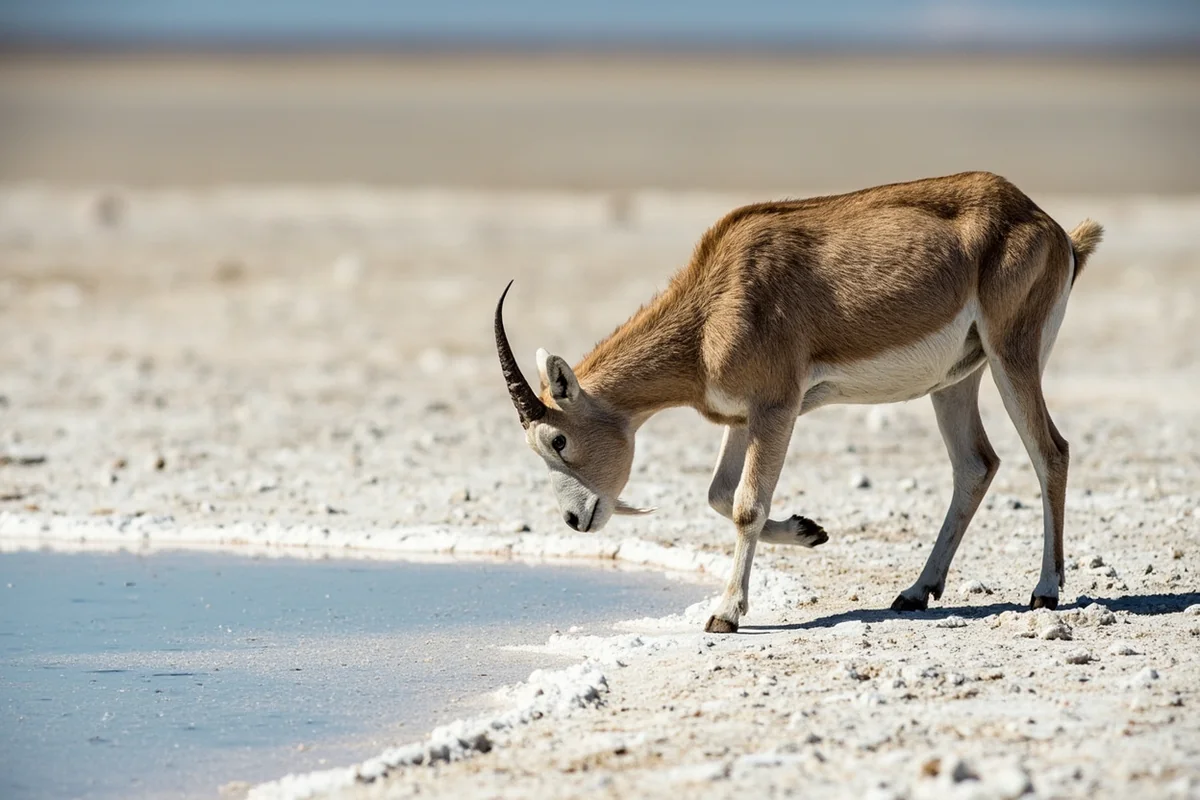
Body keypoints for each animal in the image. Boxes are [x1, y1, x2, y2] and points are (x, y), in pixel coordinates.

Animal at [494, 172, 1103, 633]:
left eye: (558, 438)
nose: (575, 519)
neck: (711, 309)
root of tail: (1051, 228)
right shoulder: (744, 417)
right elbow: (719, 495)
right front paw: (810, 530)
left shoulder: (777, 407)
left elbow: (745, 504)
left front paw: (726, 614)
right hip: (954, 381)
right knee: (976, 465)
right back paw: (915, 591)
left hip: (1011, 356)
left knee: (1051, 451)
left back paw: (1045, 590)